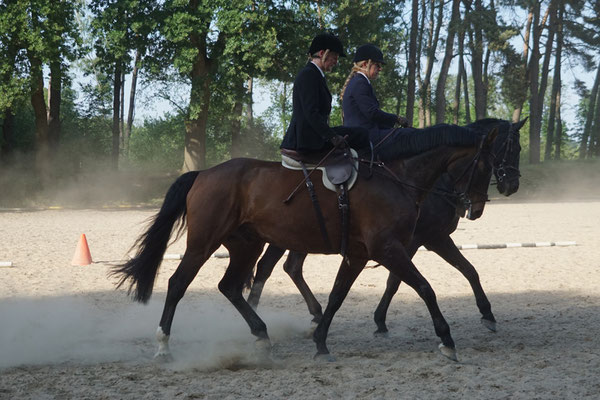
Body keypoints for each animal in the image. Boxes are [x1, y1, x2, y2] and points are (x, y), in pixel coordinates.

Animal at [112, 124, 502, 362]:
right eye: (485, 166)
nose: (476, 208)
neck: (397, 177)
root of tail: (203, 173)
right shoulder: (389, 248)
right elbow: (425, 288)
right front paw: (447, 341)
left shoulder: (361, 254)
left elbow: (338, 296)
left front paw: (321, 342)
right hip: (203, 243)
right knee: (179, 283)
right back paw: (163, 345)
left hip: (246, 245)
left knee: (231, 286)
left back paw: (262, 335)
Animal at [246, 116, 524, 334]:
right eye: (513, 149)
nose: (511, 186)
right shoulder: (421, 239)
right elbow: (396, 280)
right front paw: (380, 320)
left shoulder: (433, 238)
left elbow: (468, 269)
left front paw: (487, 313)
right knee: (267, 267)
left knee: (289, 267)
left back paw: (312, 313)